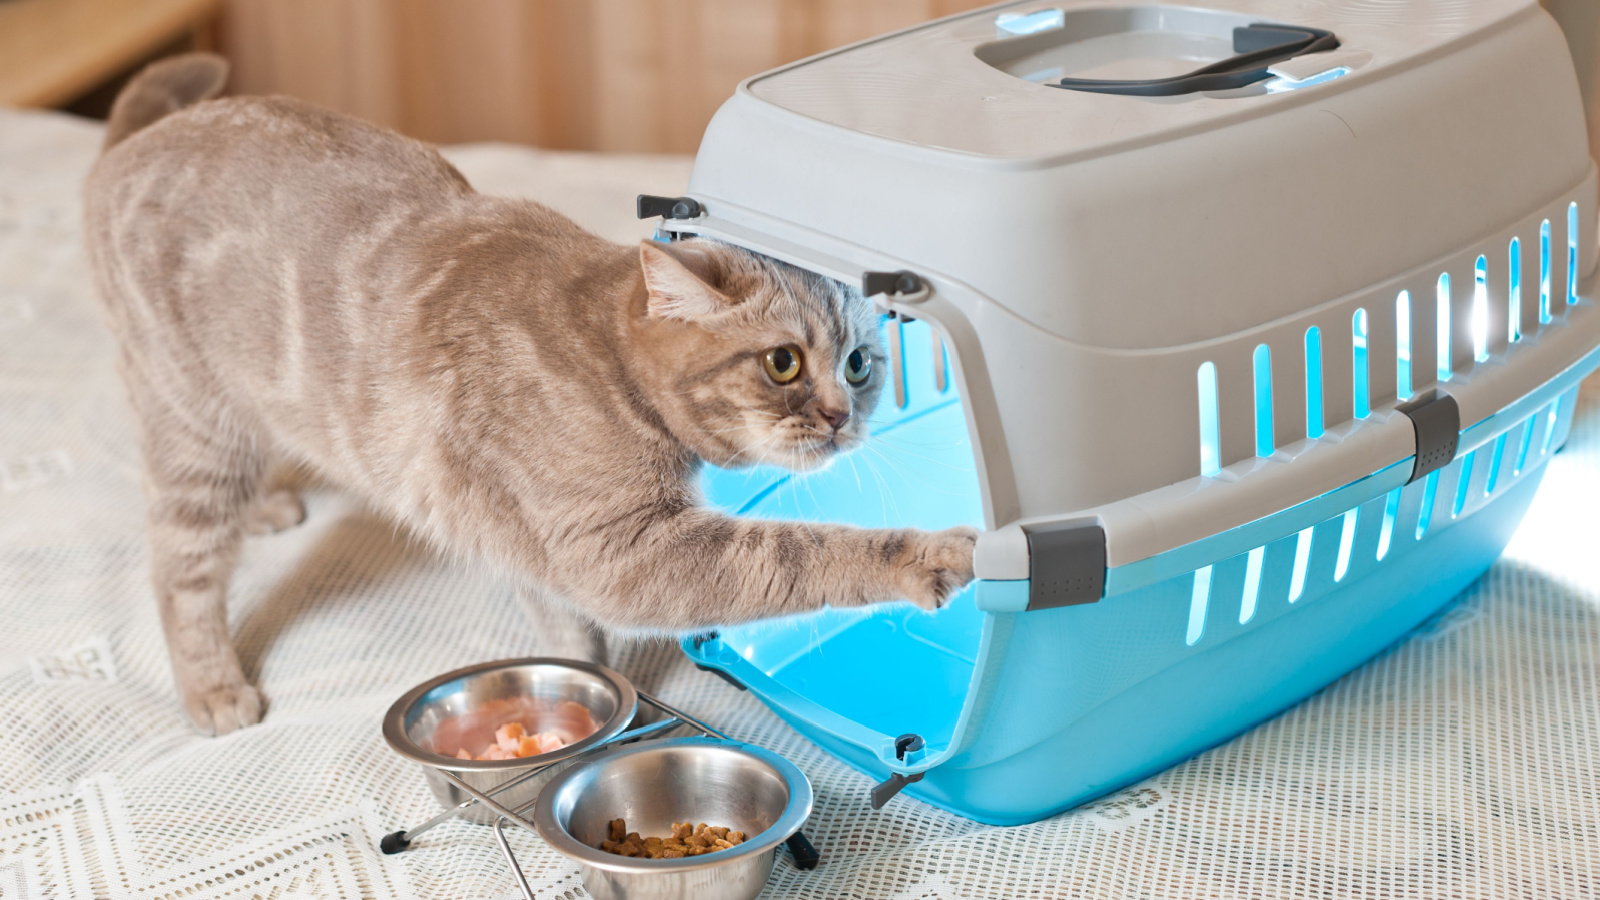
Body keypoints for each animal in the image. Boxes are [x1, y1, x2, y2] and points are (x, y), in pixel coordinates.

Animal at [87, 54, 979, 730]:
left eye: (861, 364)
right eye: (785, 363)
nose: (840, 418)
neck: (604, 357)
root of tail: (136, 139)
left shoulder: (542, 551)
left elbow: (571, 643)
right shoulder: (621, 553)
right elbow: (805, 552)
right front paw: (929, 555)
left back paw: (270, 503)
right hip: (196, 436)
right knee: (179, 572)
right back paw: (213, 690)